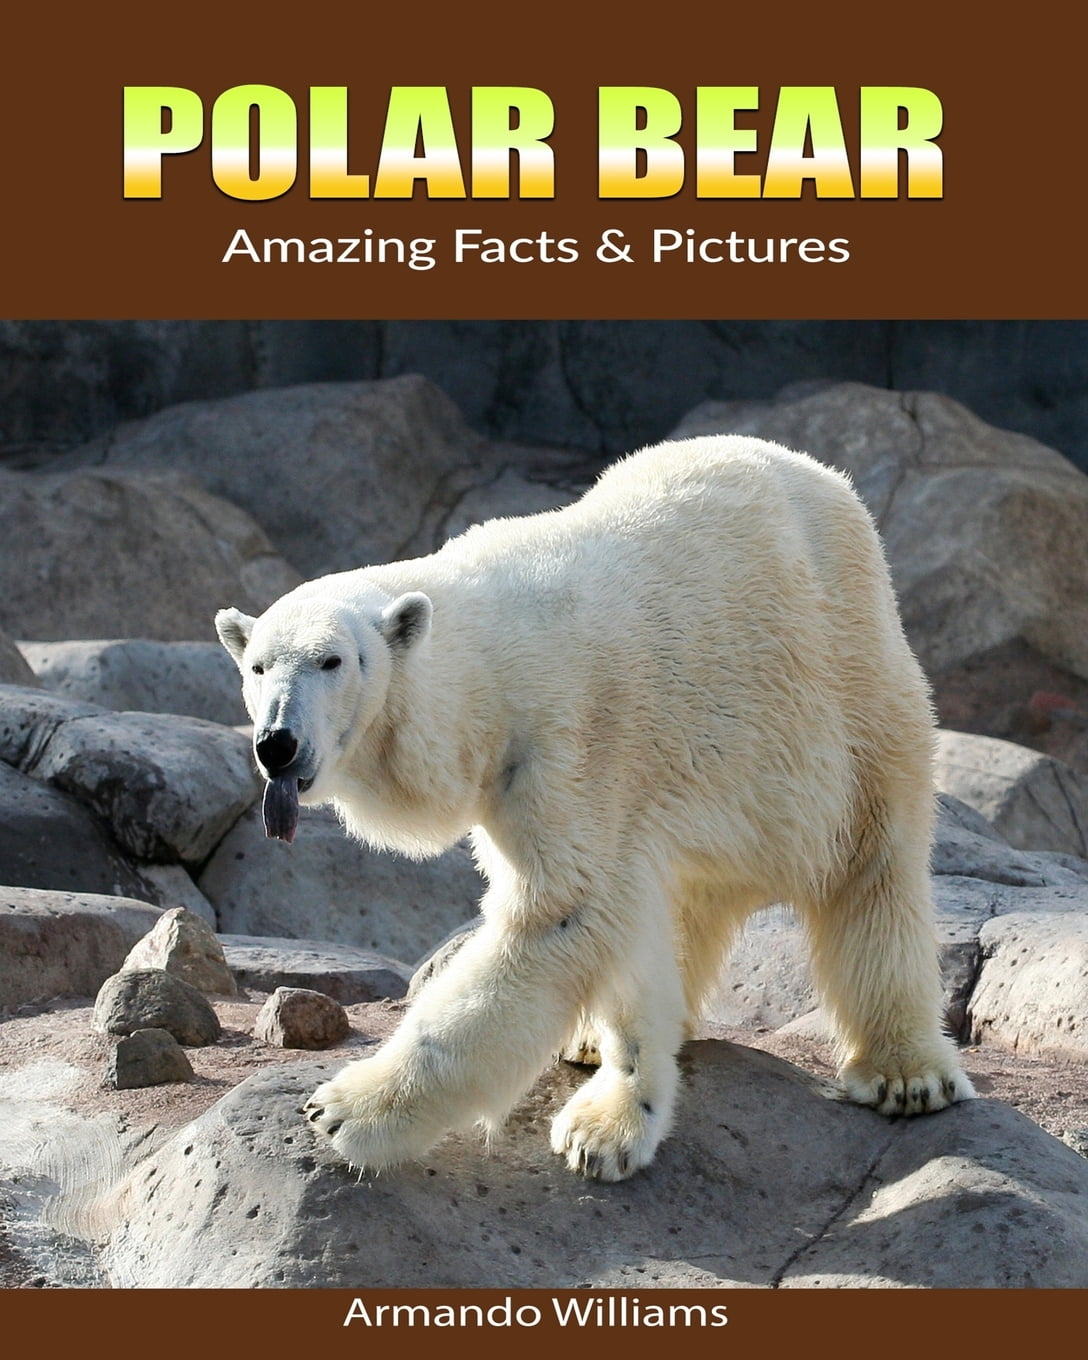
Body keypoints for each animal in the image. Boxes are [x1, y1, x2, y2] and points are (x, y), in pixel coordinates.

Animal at [216, 434, 974, 1182]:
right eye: (257, 666)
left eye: (334, 660)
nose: (277, 743)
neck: (491, 662)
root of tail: (831, 484)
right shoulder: (545, 782)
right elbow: (615, 923)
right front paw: (611, 1117)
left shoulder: (569, 743)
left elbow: (560, 913)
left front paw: (345, 1110)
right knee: (690, 897)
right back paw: (591, 1036)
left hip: (847, 695)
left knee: (871, 868)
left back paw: (906, 1073)